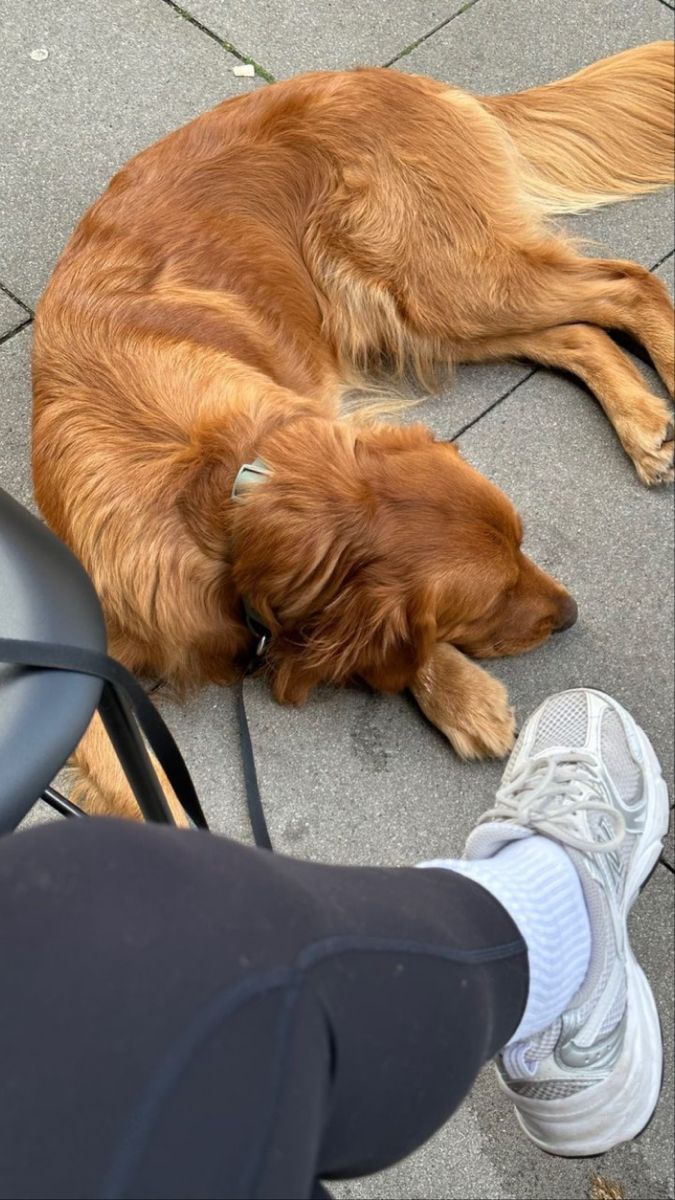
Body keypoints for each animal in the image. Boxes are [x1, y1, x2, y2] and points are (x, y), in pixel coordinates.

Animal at [32, 42, 672, 820]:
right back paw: (643, 421)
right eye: (488, 598)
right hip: (420, 315)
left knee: (627, 284)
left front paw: (455, 693)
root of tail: (406, 82)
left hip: (444, 285)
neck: (223, 489)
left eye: (525, 545)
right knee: (580, 332)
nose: (571, 614)